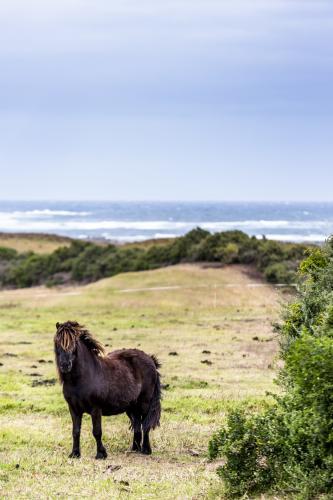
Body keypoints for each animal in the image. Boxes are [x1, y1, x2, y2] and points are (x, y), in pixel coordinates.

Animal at [53, 320, 160, 458]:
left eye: (74, 343)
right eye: (57, 342)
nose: (65, 365)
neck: (81, 380)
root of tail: (150, 359)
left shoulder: (95, 409)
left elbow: (97, 431)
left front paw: (101, 454)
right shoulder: (74, 409)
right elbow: (76, 431)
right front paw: (75, 454)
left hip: (144, 404)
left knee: (145, 425)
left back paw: (146, 450)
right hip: (132, 407)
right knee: (137, 425)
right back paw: (134, 449)